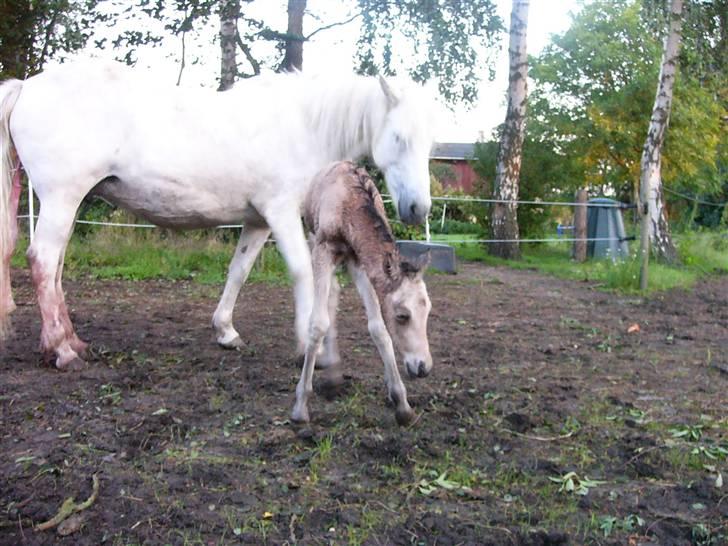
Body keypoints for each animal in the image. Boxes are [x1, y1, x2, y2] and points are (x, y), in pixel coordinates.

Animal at [0, 60, 432, 370]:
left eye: (429, 142)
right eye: (399, 138)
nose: (418, 208)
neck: (303, 126)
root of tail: (26, 86)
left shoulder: (258, 220)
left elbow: (238, 271)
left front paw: (225, 331)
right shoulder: (281, 213)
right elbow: (301, 273)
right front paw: (308, 346)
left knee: (54, 269)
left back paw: (71, 342)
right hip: (61, 199)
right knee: (42, 262)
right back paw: (62, 351)